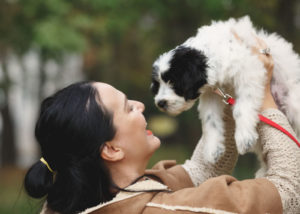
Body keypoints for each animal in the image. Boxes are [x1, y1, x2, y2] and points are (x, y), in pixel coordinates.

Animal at [151, 16, 300, 164]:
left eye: (174, 83)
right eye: (157, 84)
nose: (160, 103)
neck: (211, 54)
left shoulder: (249, 72)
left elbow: (241, 108)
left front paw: (244, 138)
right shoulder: (211, 93)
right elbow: (210, 118)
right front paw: (213, 149)